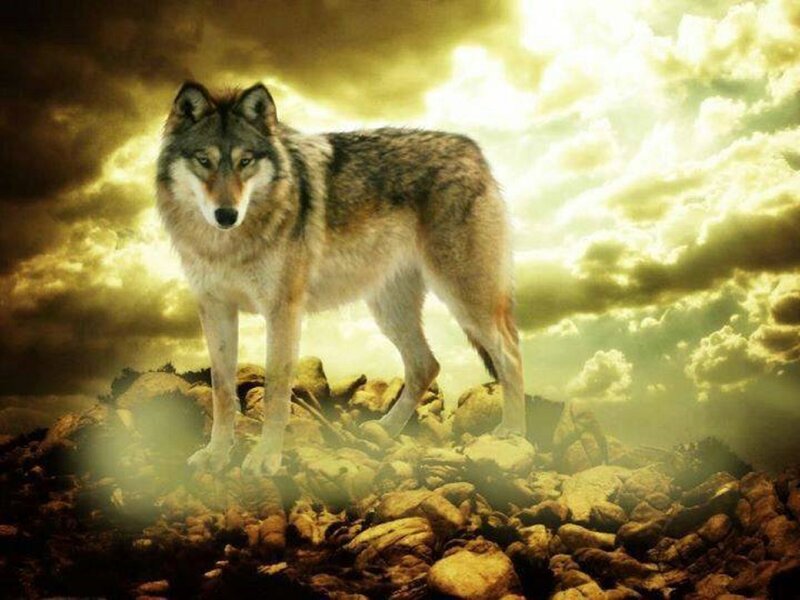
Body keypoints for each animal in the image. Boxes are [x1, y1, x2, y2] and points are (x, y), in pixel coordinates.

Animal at [156, 81, 526, 476]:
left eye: (245, 161)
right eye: (204, 160)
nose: (226, 215)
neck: (226, 245)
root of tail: (472, 150)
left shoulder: (283, 310)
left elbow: (276, 390)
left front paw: (265, 457)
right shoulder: (215, 309)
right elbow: (222, 391)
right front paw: (215, 454)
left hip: (466, 300)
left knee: (510, 353)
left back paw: (514, 434)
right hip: (389, 310)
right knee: (427, 364)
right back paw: (386, 430)